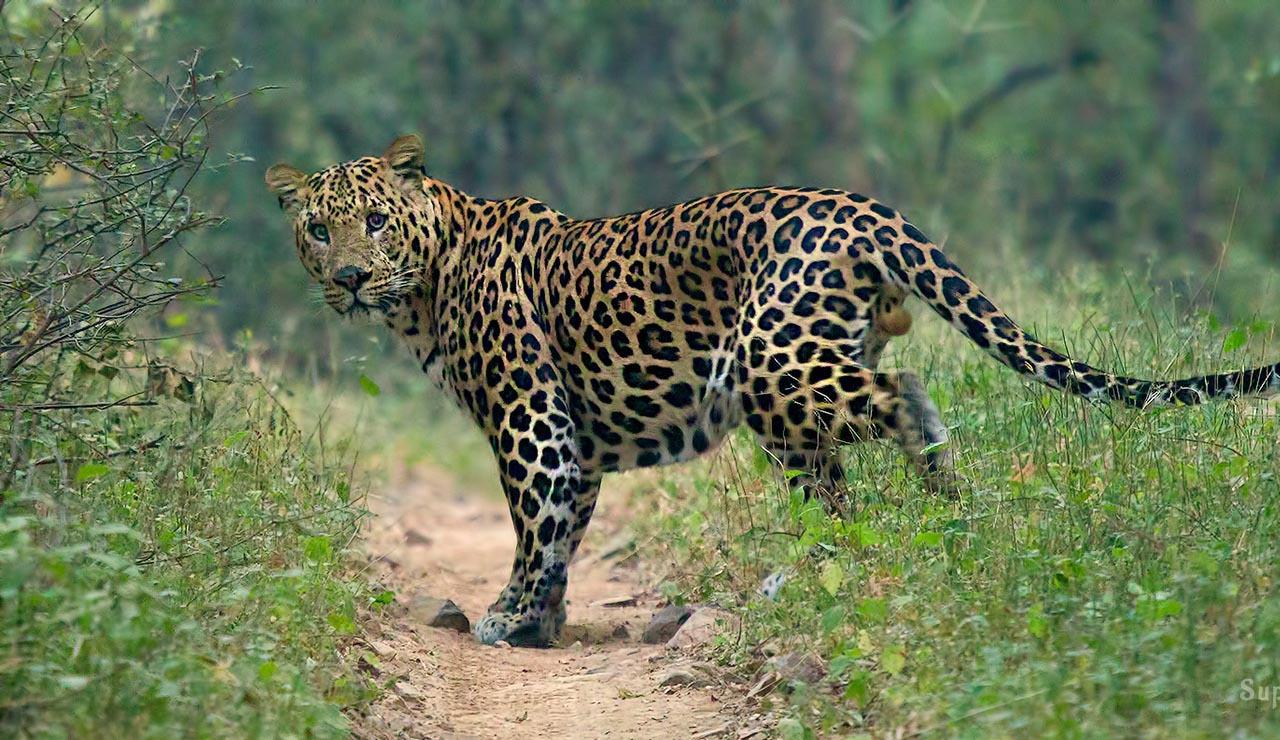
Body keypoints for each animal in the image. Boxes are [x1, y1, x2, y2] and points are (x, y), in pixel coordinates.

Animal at [266, 134, 1280, 647]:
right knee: (837, 490)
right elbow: (565, 527)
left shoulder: (531, 420)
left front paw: (509, 617)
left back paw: (940, 497)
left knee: (903, 395)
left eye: (373, 223)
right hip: (792, 397)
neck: (426, 284)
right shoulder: (577, 442)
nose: (348, 277)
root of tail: (867, 207)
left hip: (772, 360)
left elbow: (532, 524)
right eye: (317, 229)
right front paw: (543, 621)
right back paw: (838, 565)